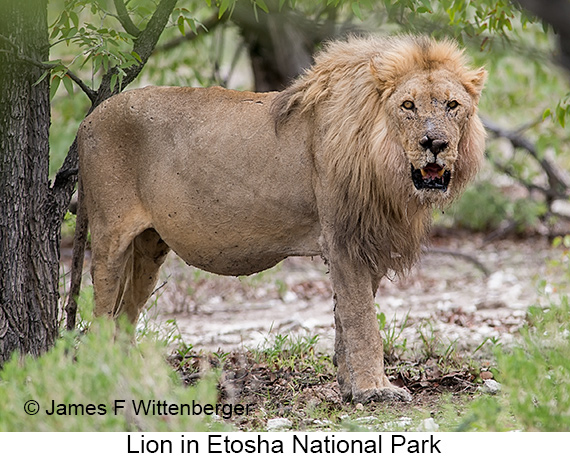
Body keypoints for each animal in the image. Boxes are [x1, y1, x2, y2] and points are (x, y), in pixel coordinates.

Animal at [74, 34, 484, 402]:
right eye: (408, 105)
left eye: (452, 104)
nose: (435, 144)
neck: (387, 167)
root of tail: (89, 117)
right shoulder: (343, 240)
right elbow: (363, 321)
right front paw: (375, 390)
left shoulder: (370, 241)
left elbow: (345, 318)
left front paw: (349, 388)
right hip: (110, 236)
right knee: (101, 316)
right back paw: (106, 375)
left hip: (149, 247)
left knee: (124, 318)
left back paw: (132, 379)